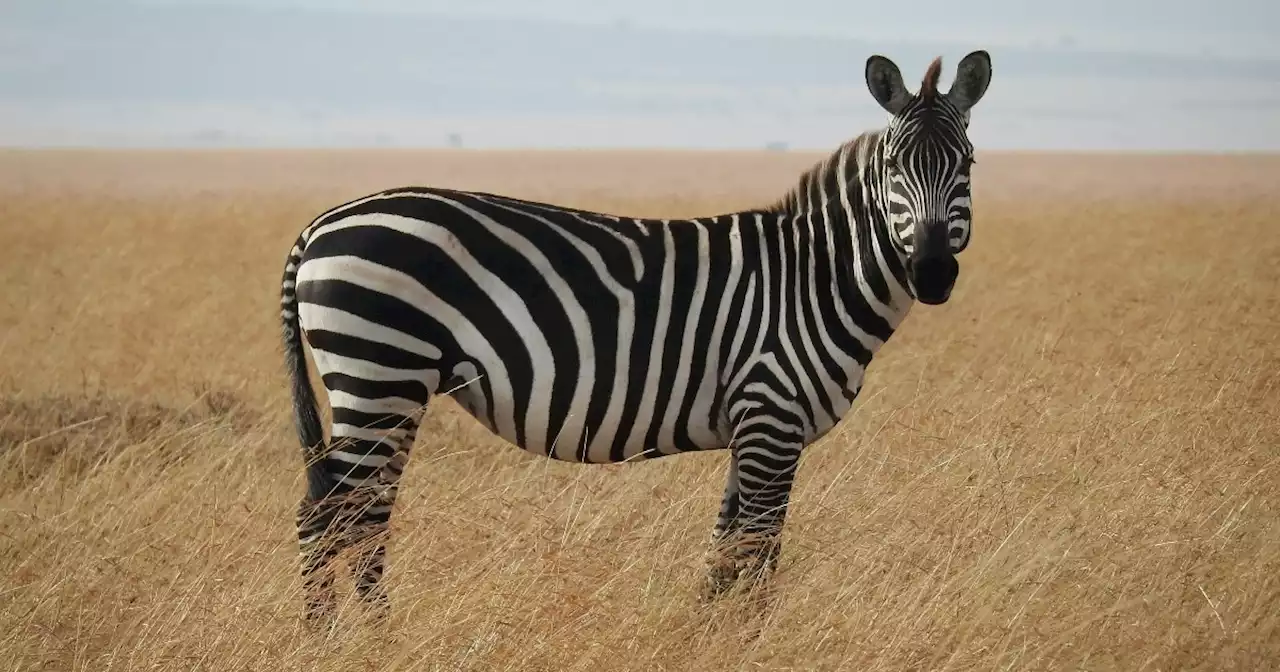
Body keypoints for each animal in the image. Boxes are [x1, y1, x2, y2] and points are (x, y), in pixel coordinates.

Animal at [282, 49, 988, 622]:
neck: (814, 279)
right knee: (335, 518)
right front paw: (753, 638)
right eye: (893, 167)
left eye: (968, 164)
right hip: (380, 373)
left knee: (353, 516)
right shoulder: (771, 416)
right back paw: (348, 639)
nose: (932, 273)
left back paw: (356, 633)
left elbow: (725, 552)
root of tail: (321, 223)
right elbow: (759, 554)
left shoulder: (750, 426)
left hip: (386, 386)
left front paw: (709, 635)